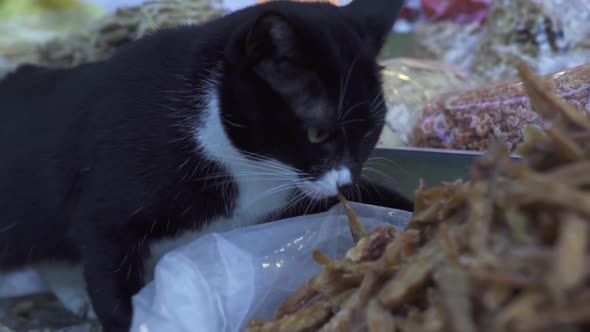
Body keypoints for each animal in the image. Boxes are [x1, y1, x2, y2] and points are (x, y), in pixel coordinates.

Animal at [0, 0, 414, 330]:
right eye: (317, 134)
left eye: (370, 131)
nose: (345, 182)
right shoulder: (105, 213)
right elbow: (109, 275)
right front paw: (140, 318)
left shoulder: (288, 194)